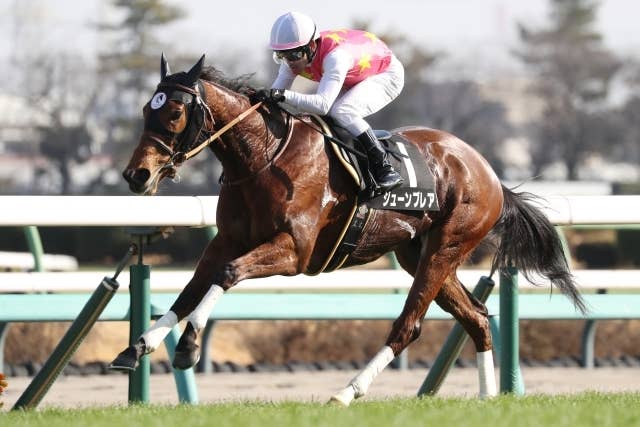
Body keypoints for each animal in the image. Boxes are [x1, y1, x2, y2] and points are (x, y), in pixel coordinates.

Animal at [110, 54, 586, 405]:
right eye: (145, 109)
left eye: (174, 112)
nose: (137, 175)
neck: (263, 157)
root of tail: (489, 174)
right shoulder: (227, 240)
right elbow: (190, 290)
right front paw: (136, 347)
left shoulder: (293, 252)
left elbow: (227, 275)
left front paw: (189, 345)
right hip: (419, 254)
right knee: (478, 317)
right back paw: (489, 399)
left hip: (447, 246)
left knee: (409, 325)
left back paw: (346, 391)